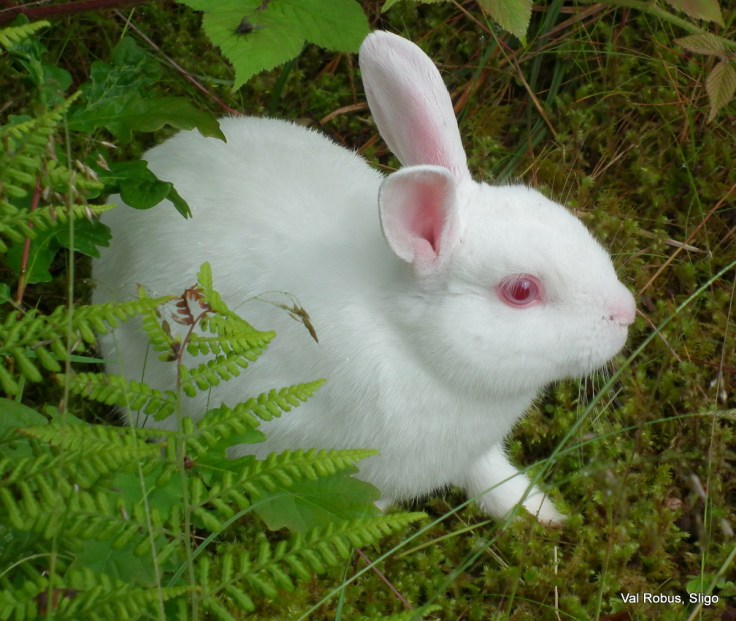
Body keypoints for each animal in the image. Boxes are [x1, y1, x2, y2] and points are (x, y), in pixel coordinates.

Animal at [93, 30, 636, 526]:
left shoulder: (475, 451)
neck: (412, 344)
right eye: (521, 291)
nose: (626, 312)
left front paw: (540, 512)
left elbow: (490, 477)